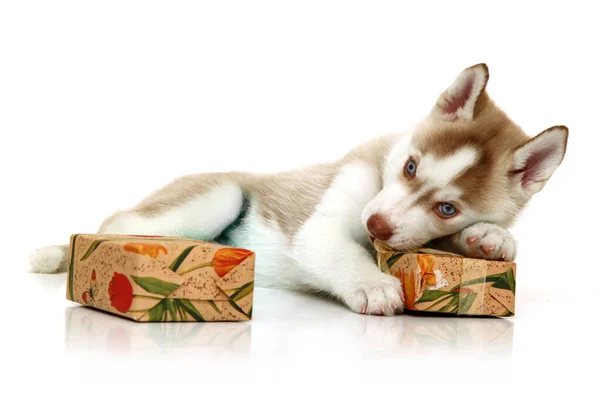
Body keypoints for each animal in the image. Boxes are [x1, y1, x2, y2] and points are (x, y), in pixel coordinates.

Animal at [30, 64, 568, 316]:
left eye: (448, 208)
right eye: (410, 166)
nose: (375, 224)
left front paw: (492, 239)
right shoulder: (327, 221)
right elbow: (336, 247)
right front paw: (372, 284)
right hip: (217, 197)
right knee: (112, 223)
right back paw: (62, 253)